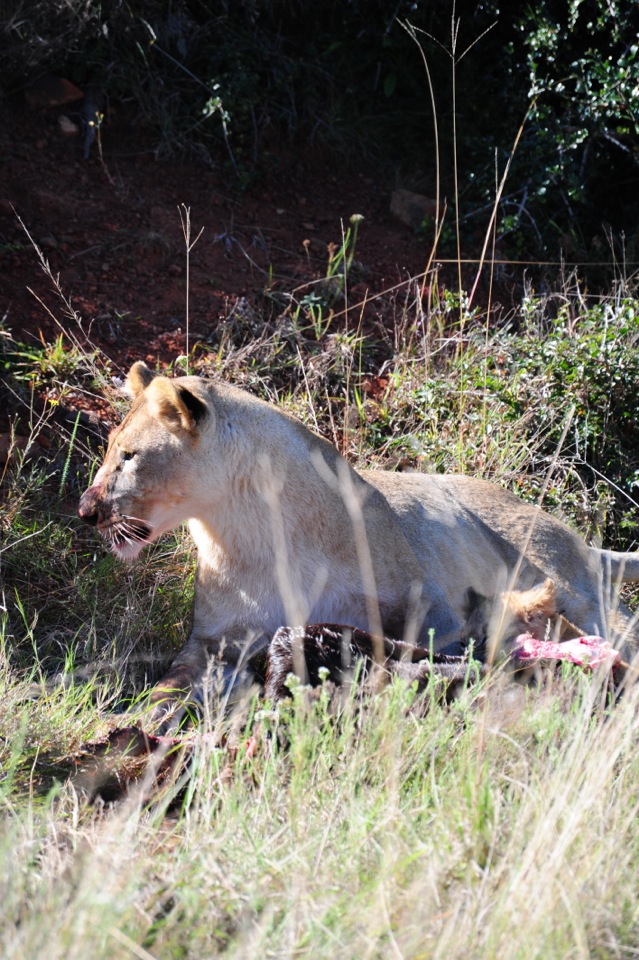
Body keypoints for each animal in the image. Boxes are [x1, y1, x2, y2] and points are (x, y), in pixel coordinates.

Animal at [78, 362, 639, 712]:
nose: (85, 510)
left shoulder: (433, 610)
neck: (249, 530)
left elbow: (432, 650)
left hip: (580, 593)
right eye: (109, 448)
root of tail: (578, 539)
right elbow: (162, 696)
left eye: (128, 456)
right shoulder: (214, 642)